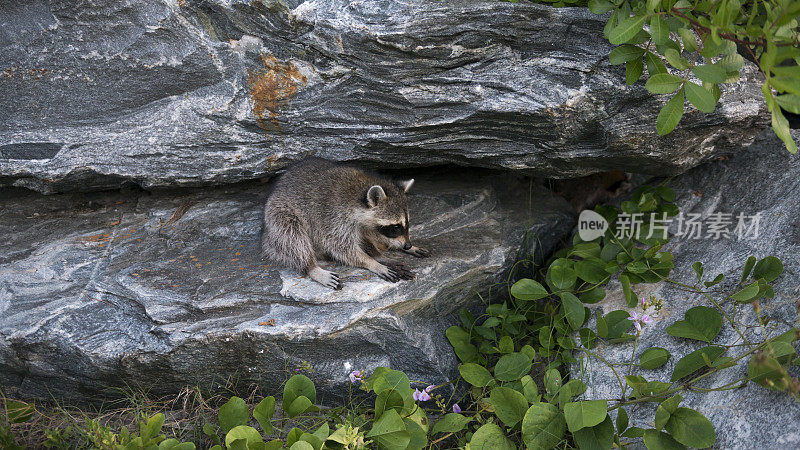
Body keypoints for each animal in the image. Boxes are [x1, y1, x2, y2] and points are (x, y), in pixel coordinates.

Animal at [260, 158, 432, 290]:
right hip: (279, 215)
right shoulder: (333, 218)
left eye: (407, 224)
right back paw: (311, 267)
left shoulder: (366, 223)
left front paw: (382, 254)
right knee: (292, 238)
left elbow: (369, 235)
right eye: (396, 227)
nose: (407, 245)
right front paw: (371, 262)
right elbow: (340, 246)